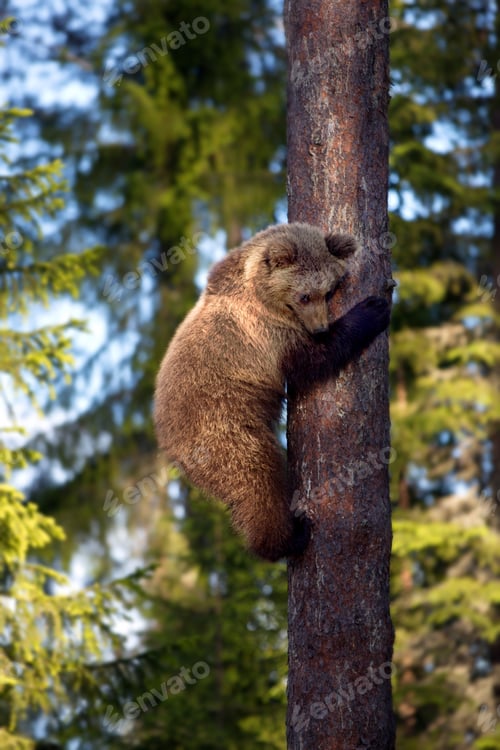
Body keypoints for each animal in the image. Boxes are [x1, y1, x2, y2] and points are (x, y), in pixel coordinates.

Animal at [154, 223, 390, 561]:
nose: (320, 328)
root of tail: (170, 447)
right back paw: (289, 537)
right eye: (305, 296)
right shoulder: (267, 335)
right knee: (258, 483)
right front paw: (372, 310)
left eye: (328, 291)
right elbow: (315, 360)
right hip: (225, 430)